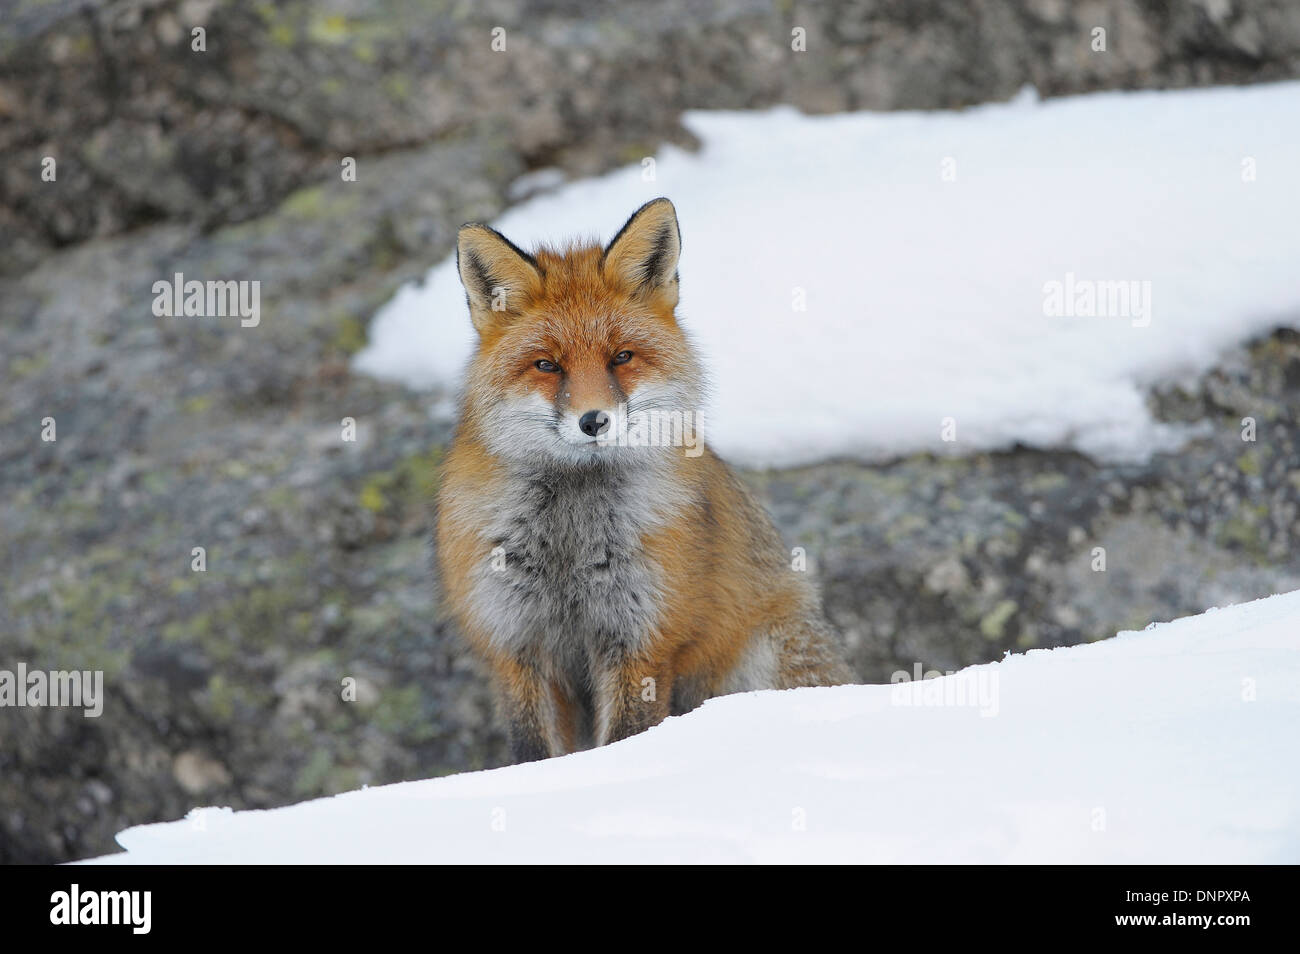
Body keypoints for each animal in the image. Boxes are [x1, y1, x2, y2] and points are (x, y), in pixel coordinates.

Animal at [436, 197, 852, 763]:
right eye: (547, 365)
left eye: (621, 357)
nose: (594, 421)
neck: (572, 538)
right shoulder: (517, 645)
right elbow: (535, 751)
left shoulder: (642, 639)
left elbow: (627, 736)